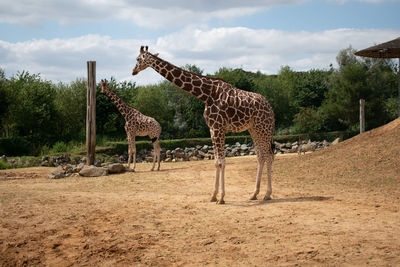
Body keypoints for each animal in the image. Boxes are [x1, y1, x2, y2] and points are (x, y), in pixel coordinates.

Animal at [132, 46, 276, 205]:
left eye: (138, 59)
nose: (133, 71)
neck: (206, 95)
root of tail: (271, 108)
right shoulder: (212, 129)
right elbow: (216, 161)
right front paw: (213, 196)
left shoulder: (218, 127)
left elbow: (221, 161)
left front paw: (221, 197)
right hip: (253, 128)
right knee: (261, 156)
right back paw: (254, 194)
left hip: (264, 127)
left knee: (269, 155)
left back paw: (267, 194)